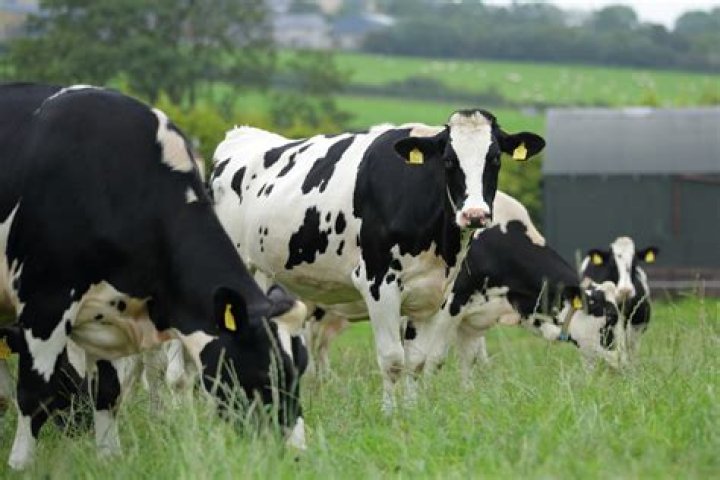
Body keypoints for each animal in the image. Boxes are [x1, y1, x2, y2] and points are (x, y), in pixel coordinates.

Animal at [0, 83, 307, 469]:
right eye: (268, 371)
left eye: (301, 370)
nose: (296, 454)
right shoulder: (44, 302)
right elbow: (34, 392)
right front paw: (19, 465)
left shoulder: (107, 313)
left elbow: (108, 392)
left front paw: (109, 458)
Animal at [210, 110, 545, 411]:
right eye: (449, 161)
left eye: (495, 159)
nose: (474, 215)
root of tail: (241, 133)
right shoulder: (379, 283)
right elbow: (392, 359)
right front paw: (389, 413)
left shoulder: (434, 294)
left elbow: (416, 361)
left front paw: (412, 411)